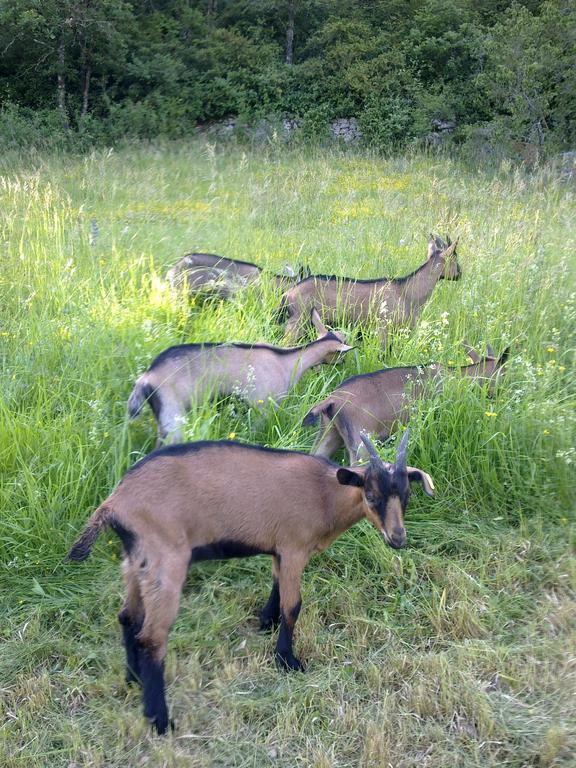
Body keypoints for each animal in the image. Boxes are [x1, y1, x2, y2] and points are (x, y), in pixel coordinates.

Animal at [67, 428, 434, 736]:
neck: (325, 493)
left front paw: (265, 623)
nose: (398, 539)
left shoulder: (279, 550)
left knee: (127, 617)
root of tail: (114, 503)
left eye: (406, 494)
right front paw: (287, 661)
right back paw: (160, 720)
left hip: (135, 560)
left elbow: (276, 587)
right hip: (165, 560)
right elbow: (293, 605)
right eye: (371, 494)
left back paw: (133, 680)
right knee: (152, 638)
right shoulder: (294, 546)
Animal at [129, 308, 352, 448]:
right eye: (343, 351)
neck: (288, 361)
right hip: (172, 416)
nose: (344, 365)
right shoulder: (264, 406)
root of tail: (147, 378)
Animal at [276, 234, 462, 342]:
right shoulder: (383, 328)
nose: (459, 273)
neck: (407, 292)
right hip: (296, 324)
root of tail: (287, 295)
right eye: (455, 257)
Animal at [302, 342, 508, 462]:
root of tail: (331, 401)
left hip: (329, 434)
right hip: (361, 443)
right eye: (504, 373)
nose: (499, 393)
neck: (461, 378)